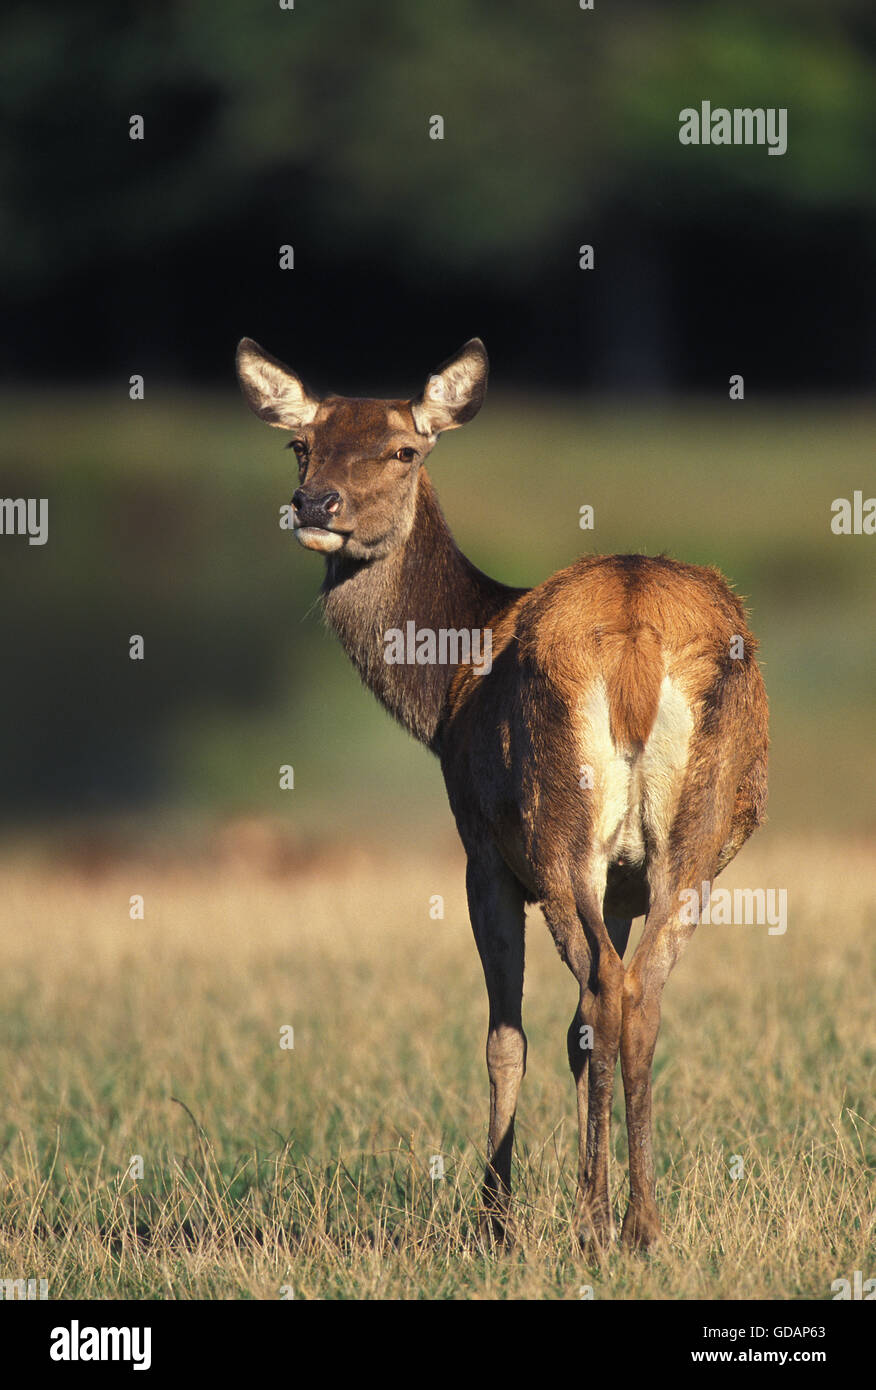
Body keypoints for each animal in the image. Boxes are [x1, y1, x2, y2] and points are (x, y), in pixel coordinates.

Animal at [233, 333, 767, 1251]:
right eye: (301, 444)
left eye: (403, 451)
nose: (314, 502)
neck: (445, 680)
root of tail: (635, 640)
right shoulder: (621, 881)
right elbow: (581, 1032)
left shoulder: (481, 851)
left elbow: (504, 1036)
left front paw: (493, 1221)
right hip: (687, 845)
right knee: (637, 993)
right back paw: (639, 1221)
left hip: (554, 828)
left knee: (600, 989)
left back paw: (592, 1221)